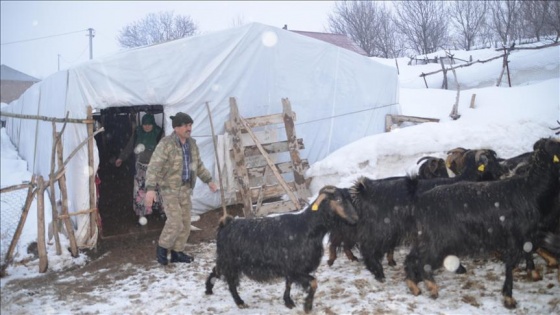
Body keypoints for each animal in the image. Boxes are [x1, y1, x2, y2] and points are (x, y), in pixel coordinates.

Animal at [206, 185, 358, 314]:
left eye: (349, 199)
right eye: (338, 199)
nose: (355, 219)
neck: (308, 227)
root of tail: (225, 224)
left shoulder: (289, 266)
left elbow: (288, 283)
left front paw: (288, 302)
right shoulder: (296, 268)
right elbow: (313, 282)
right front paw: (307, 306)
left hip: (227, 260)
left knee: (216, 270)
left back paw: (209, 289)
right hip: (230, 261)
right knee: (230, 281)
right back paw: (239, 302)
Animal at [402, 138, 560, 308]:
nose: (504, 169)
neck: (532, 189)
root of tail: (420, 202)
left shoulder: (525, 236)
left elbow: (528, 252)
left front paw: (534, 273)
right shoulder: (515, 237)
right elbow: (511, 265)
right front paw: (509, 298)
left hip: (425, 237)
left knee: (411, 258)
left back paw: (414, 286)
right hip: (438, 240)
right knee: (422, 261)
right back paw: (430, 287)